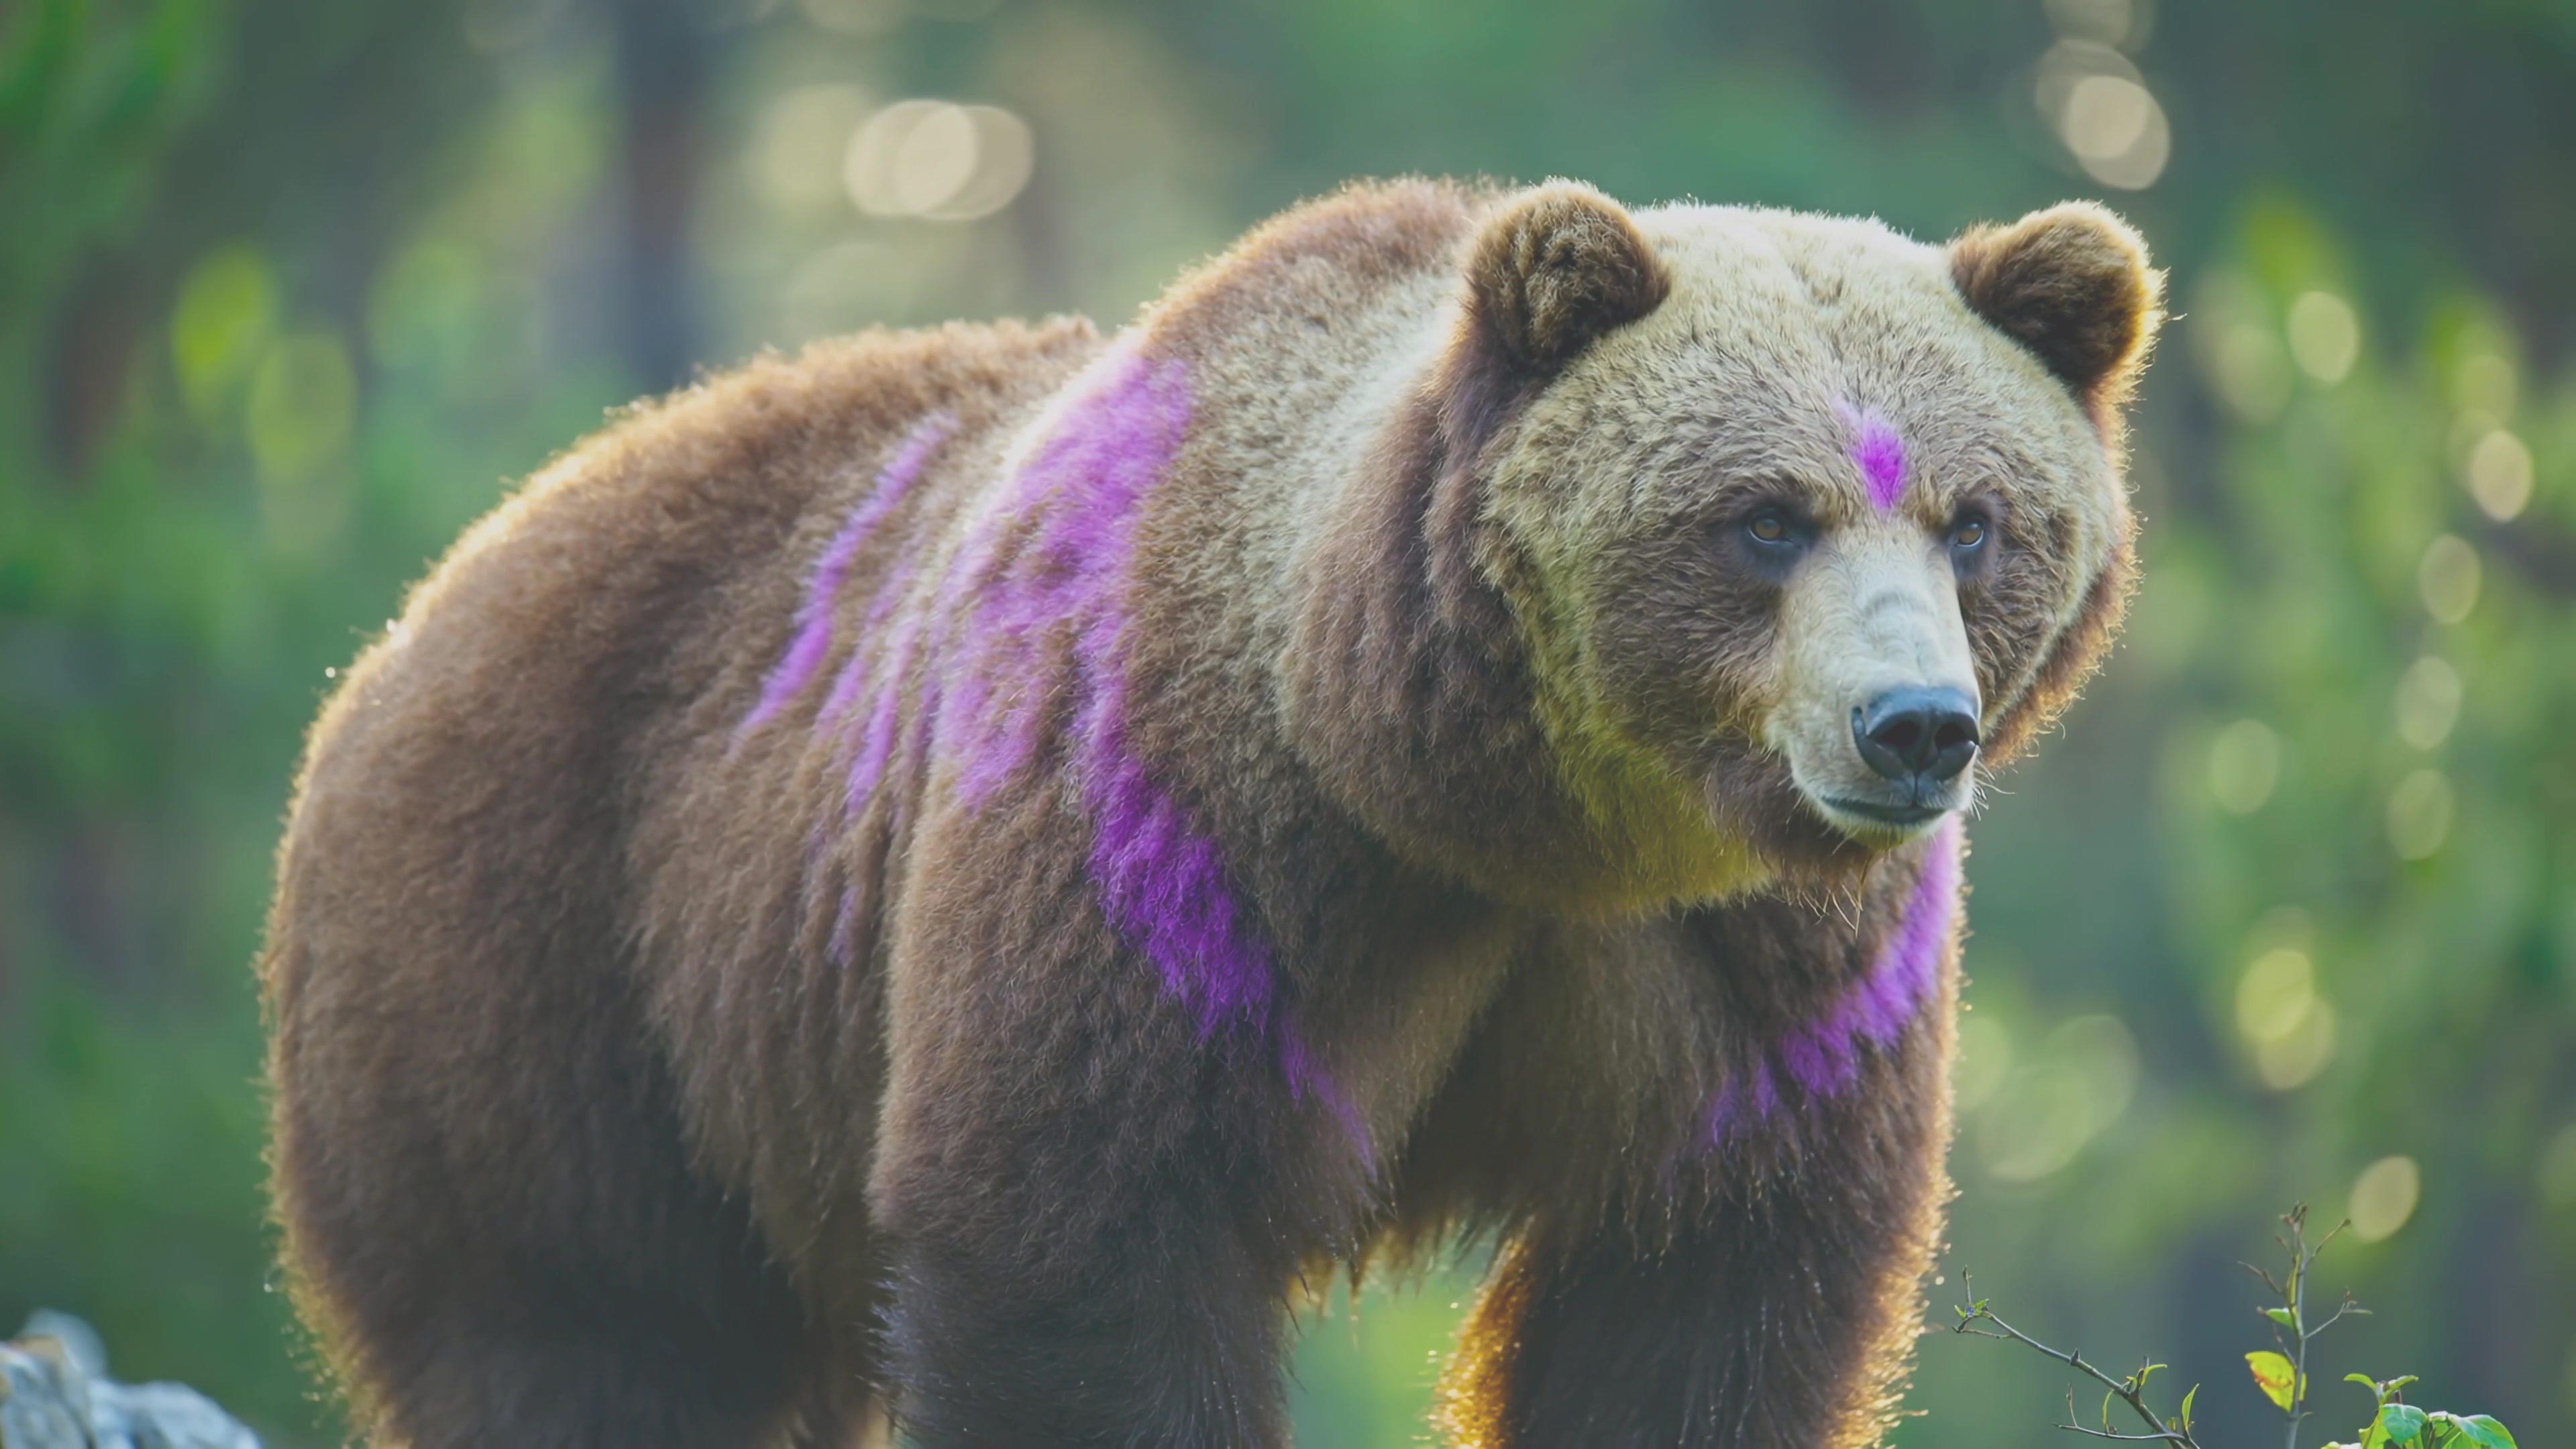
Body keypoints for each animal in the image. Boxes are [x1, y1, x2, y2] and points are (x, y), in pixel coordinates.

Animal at [259, 177, 2159, 1448]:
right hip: (545, 953)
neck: (1519, 822)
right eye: (1765, 517)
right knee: (584, 1324)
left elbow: (1707, 1301)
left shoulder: (1768, 980)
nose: (1912, 730)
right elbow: (1082, 1238)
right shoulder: (1183, 845)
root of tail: (434, 589)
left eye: (1978, 520)